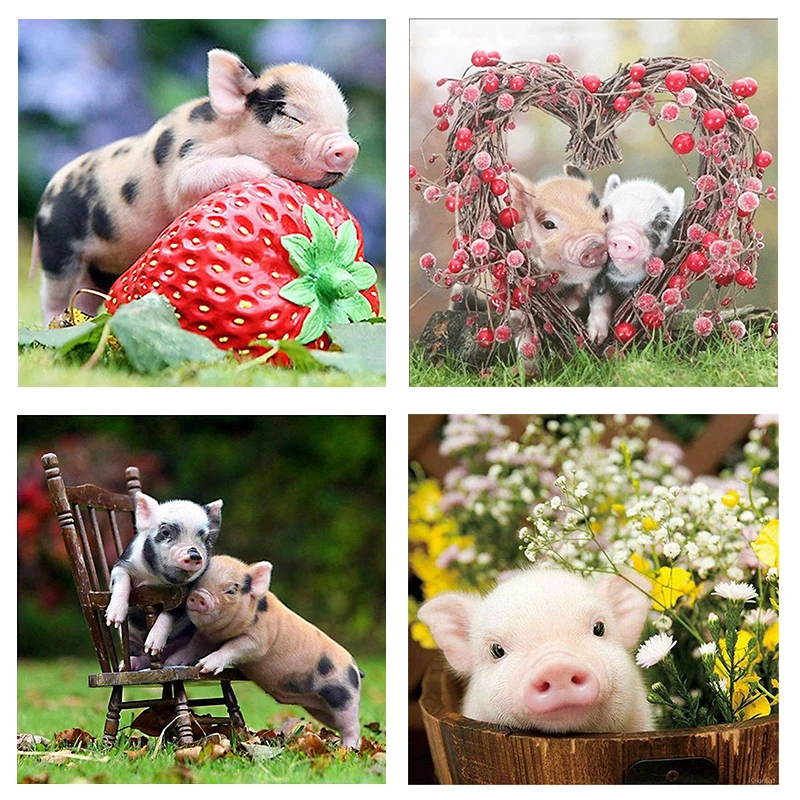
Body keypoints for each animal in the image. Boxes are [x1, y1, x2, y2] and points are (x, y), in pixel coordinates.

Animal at [33, 48, 359, 322]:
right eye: (290, 115)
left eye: (344, 120)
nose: (349, 147)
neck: (229, 133)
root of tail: (46, 195)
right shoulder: (182, 169)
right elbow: (188, 182)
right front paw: (267, 173)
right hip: (58, 244)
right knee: (53, 292)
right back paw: (56, 323)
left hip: (101, 266)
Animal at [105, 492, 222, 669]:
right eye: (166, 532)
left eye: (207, 539)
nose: (194, 555)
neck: (156, 580)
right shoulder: (123, 564)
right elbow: (121, 582)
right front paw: (113, 619)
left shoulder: (188, 593)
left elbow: (170, 614)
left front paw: (152, 646)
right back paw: (127, 665)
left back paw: (174, 661)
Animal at [168, 555, 363, 748]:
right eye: (195, 584)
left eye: (231, 590)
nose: (198, 595)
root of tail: (355, 669)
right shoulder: (207, 638)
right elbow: (193, 647)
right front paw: (172, 662)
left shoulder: (259, 640)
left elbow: (232, 647)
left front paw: (206, 666)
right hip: (321, 710)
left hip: (343, 696)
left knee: (352, 725)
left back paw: (347, 748)